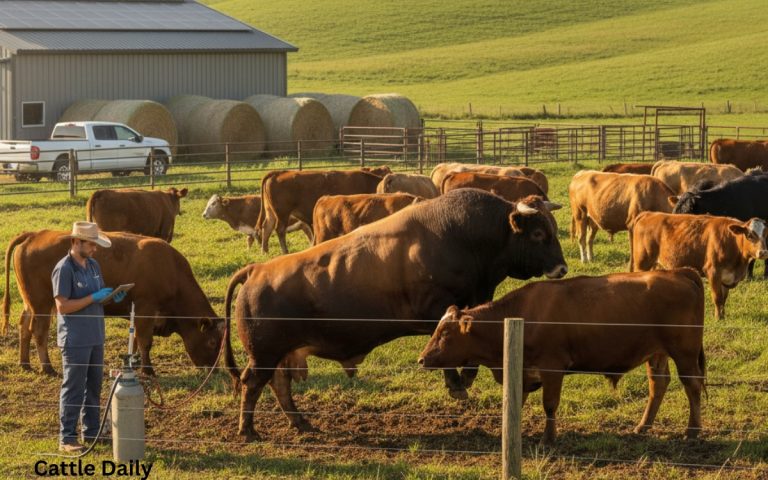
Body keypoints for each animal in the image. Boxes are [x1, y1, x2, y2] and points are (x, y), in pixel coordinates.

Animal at [3, 231, 223, 376]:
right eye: (212, 342)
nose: (213, 370)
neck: (171, 271)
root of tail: (35, 235)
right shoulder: (145, 309)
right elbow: (145, 341)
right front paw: (148, 370)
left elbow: (136, 341)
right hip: (42, 304)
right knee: (38, 331)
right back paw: (47, 367)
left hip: (31, 303)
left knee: (24, 327)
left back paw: (25, 364)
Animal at [224, 189, 568, 440]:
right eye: (538, 234)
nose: (562, 268)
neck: (466, 236)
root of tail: (256, 270)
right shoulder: (435, 308)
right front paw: (457, 384)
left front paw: (467, 376)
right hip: (265, 355)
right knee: (252, 384)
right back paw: (248, 430)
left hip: (282, 353)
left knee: (279, 386)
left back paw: (301, 424)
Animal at [257, 168, 390, 254]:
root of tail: (278, 173)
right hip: (282, 213)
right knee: (279, 229)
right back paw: (285, 251)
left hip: (271, 212)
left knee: (267, 227)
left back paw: (265, 251)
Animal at [418, 269, 706, 445]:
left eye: (444, 333)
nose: (422, 359)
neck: (523, 314)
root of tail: (677, 272)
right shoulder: (523, 370)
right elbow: (517, 402)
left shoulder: (552, 369)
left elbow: (549, 405)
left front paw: (548, 438)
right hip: (656, 353)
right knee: (659, 385)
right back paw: (643, 426)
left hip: (684, 353)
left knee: (692, 386)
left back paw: (692, 432)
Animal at [630, 212, 767, 319]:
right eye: (750, 235)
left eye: (766, 235)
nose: (763, 252)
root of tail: (649, 214)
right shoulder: (713, 272)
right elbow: (717, 297)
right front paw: (718, 318)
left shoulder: (727, 276)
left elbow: (724, 298)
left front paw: (723, 316)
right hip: (642, 263)